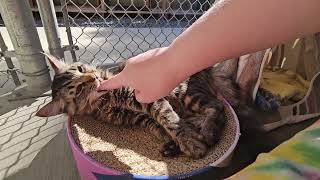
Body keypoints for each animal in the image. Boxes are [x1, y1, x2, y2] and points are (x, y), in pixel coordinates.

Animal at [35, 53, 240, 159]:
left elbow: (170, 120)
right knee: (199, 114)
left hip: (187, 93)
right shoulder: (135, 116)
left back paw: (208, 133)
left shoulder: (144, 97)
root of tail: (208, 68)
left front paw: (190, 143)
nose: (93, 77)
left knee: (217, 106)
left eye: (81, 69)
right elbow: (159, 125)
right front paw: (173, 142)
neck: (105, 100)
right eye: (78, 89)